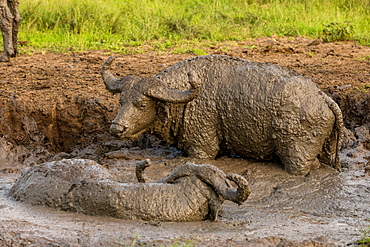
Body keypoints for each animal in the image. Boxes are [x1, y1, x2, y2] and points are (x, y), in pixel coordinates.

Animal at [101, 55, 344, 176]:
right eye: (121, 101)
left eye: (141, 104)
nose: (116, 128)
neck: (186, 99)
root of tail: (324, 98)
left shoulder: (202, 149)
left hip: (297, 158)